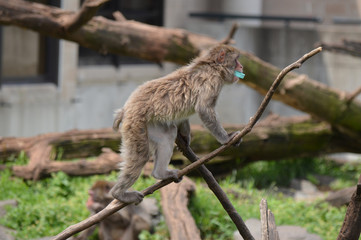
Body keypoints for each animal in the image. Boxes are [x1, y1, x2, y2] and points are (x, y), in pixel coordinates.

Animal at [111, 44, 243, 203]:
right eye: (236, 60)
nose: (241, 67)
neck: (213, 67)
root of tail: (126, 108)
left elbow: (182, 119)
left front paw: (185, 138)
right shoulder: (213, 81)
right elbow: (204, 109)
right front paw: (227, 139)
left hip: (149, 124)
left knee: (167, 135)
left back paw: (159, 173)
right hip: (135, 123)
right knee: (141, 155)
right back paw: (119, 194)